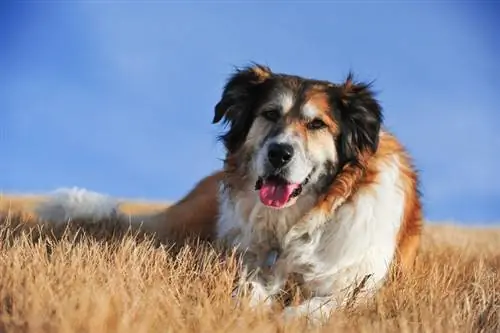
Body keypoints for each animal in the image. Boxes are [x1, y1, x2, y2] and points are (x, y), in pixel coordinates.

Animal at [35, 64, 422, 324]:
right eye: (270, 114)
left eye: (317, 124)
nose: (279, 153)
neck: (297, 222)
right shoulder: (247, 258)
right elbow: (247, 289)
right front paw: (251, 308)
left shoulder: (356, 283)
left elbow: (322, 306)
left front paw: (288, 318)